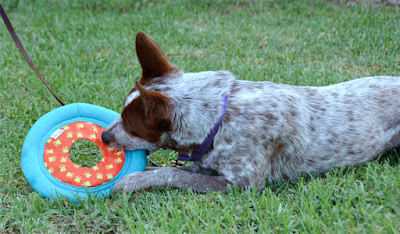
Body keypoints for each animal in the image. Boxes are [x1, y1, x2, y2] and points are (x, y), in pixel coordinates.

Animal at [101, 32, 400, 193]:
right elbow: (170, 168)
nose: (103, 136)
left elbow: (174, 174)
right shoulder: (206, 162)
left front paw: (132, 180)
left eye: (130, 124)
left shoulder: (242, 184)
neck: (221, 118)